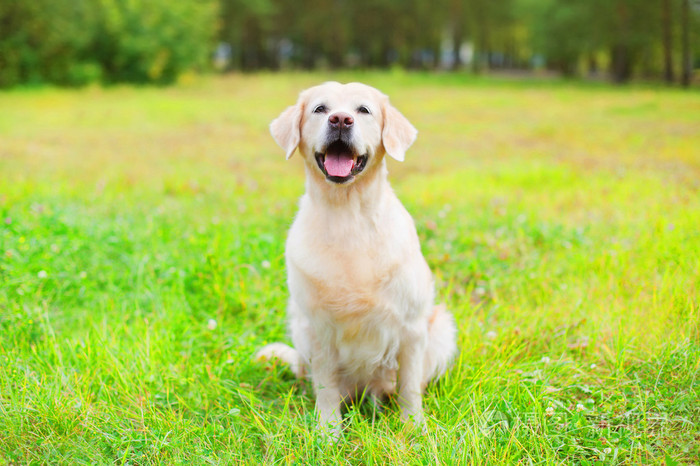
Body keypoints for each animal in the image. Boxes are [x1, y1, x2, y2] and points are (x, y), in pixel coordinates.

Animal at [254, 82, 456, 436]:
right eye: (320, 108)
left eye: (363, 110)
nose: (340, 119)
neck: (348, 214)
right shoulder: (317, 329)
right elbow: (326, 387)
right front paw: (328, 433)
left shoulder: (412, 328)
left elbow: (409, 386)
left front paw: (413, 427)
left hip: (441, 329)